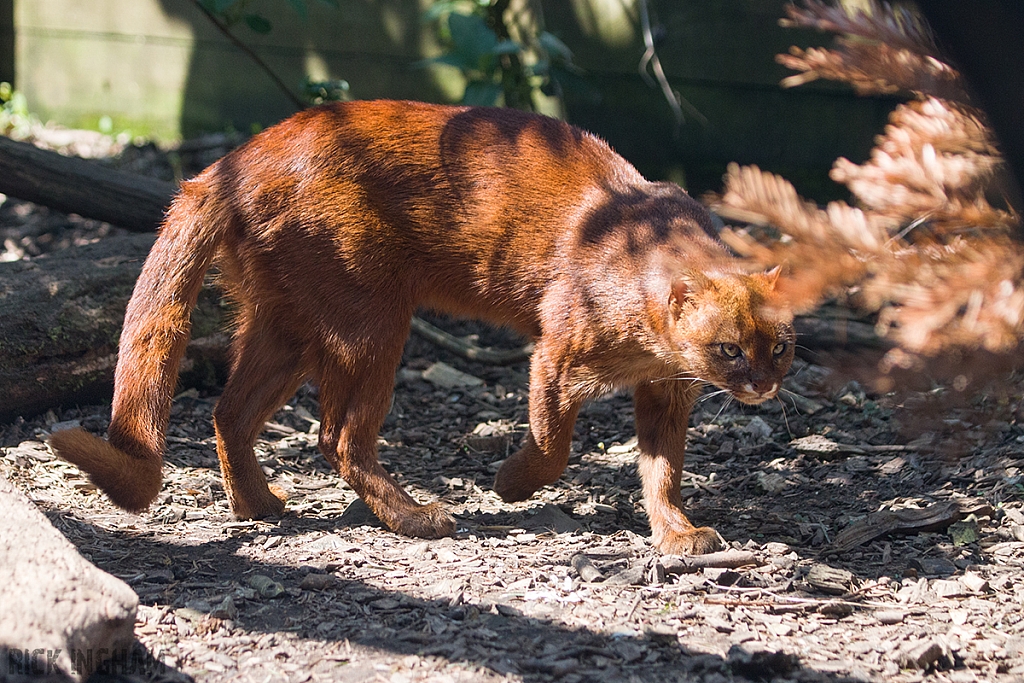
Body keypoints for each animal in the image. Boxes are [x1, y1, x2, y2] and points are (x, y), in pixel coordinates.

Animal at [51, 100, 794, 557]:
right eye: (730, 349)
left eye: (779, 348)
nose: (762, 385)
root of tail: (229, 163)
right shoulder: (554, 356)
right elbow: (554, 445)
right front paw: (511, 484)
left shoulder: (666, 390)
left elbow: (662, 471)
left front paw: (677, 533)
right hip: (373, 319)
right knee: (336, 435)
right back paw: (416, 517)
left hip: (291, 323)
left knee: (230, 411)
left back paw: (260, 505)